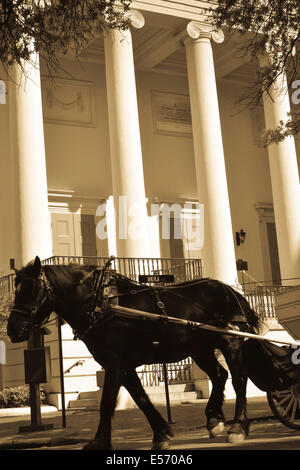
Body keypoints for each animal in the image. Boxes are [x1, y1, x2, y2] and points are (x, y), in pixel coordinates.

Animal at [5, 258, 262, 452]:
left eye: (30, 289)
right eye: (15, 289)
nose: (13, 329)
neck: (100, 304)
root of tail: (229, 290)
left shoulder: (115, 364)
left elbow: (107, 403)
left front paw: (100, 441)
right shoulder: (124, 366)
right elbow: (141, 399)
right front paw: (162, 434)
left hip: (230, 342)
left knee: (239, 380)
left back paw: (238, 427)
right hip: (200, 349)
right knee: (220, 375)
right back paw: (213, 419)